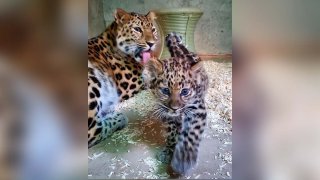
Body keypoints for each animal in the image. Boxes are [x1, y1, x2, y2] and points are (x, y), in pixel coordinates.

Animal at [87, 8, 158, 148]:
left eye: (153, 30)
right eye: (137, 29)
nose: (151, 43)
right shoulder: (131, 84)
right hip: (93, 79)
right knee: (92, 132)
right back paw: (119, 118)